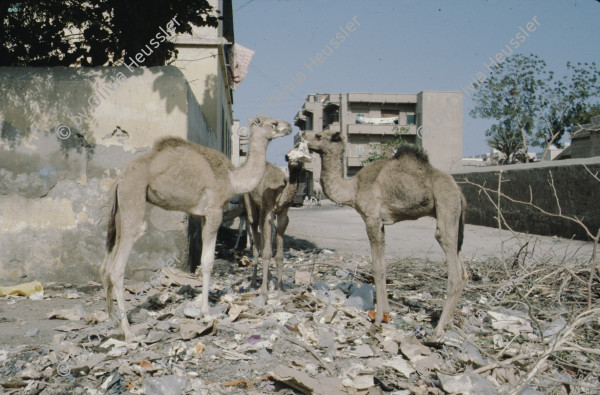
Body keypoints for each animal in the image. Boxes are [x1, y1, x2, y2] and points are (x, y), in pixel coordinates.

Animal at [100, 115, 290, 344]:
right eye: (271, 123)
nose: (288, 126)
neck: (232, 178)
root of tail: (120, 179)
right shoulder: (215, 211)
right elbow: (208, 262)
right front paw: (206, 311)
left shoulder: (203, 215)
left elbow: (202, 260)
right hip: (133, 194)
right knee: (117, 266)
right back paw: (128, 332)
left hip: (122, 211)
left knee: (106, 264)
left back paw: (113, 321)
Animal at [245, 145, 312, 296]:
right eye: (288, 156)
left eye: (302, 154)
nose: (294, 162)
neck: (280, 194)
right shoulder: (269, 211)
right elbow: (268, 253)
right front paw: (264, 291)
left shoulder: (282, 214)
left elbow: (280, 255)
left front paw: (281, 288)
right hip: (251, 203)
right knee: (255, 233)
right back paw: (253, 283)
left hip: (262, 210)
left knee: (262, 240)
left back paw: (270, 281)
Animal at [304, 131, 468, 338]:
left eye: (319, 135)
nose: (303, 136)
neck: (354, 188)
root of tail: (458, 190)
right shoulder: (381, 224)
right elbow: (383, 264)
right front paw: (387, 314)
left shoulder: (372, 219)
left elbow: (377, 267)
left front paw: (377, 320)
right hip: (455, 217)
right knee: (463, 267)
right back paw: (449, 323)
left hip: (446, 203)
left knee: (452, 265)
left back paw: (438, 330)